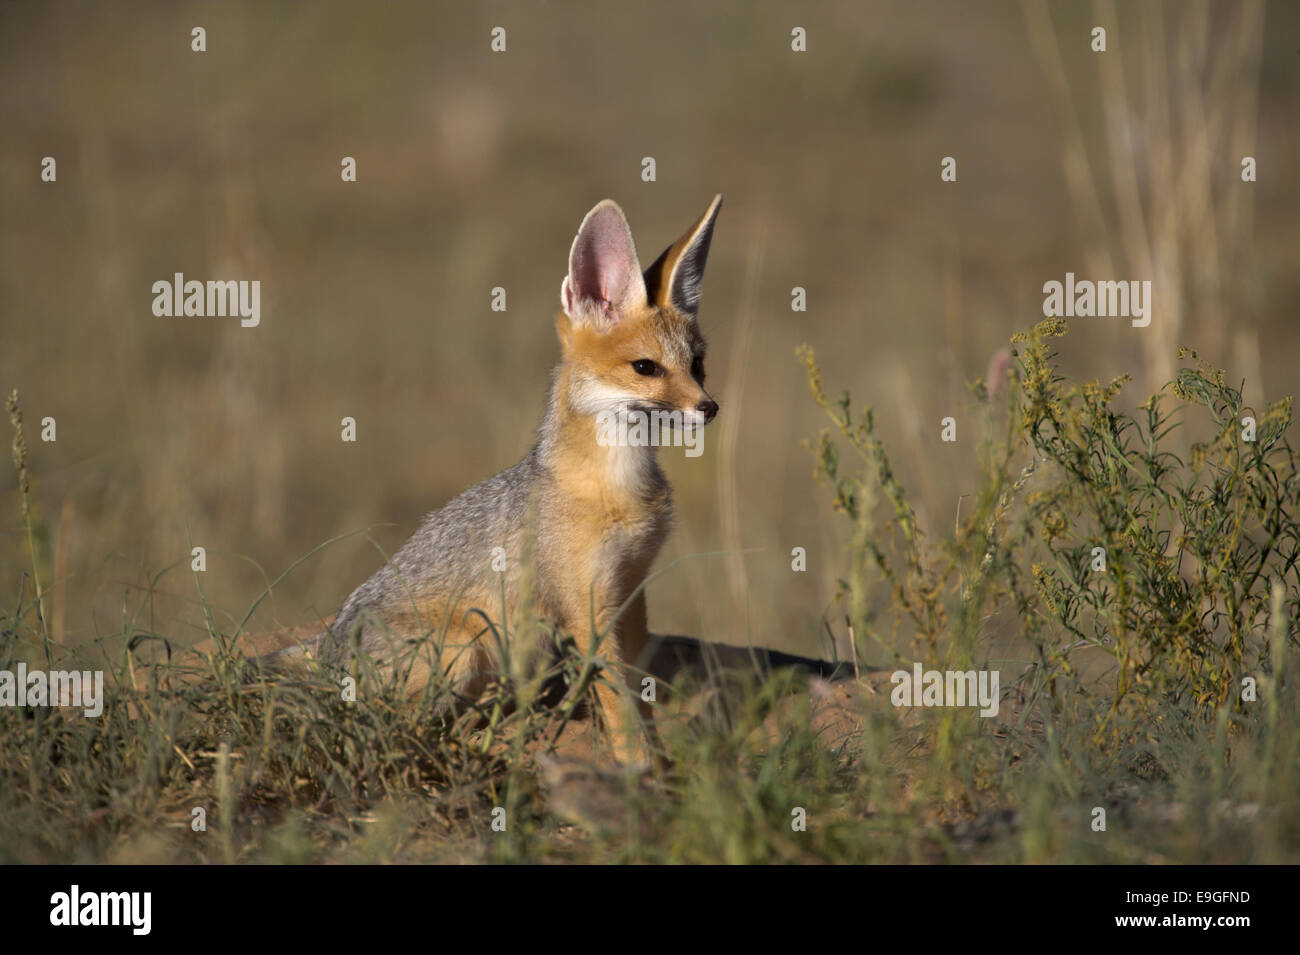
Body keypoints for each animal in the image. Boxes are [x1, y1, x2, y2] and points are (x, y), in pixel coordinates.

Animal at [309, 195, 726, 762]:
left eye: (697, 364)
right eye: (646, 368)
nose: (709, 408)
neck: (618, 488)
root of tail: (327, 655)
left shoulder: (631, 589)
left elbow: (641, 695)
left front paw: (657, 755)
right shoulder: (587, 607)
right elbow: (619, 702)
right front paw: (638, 766)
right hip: (468, 645)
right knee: (399, 727)